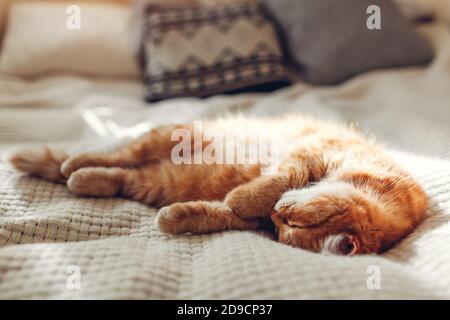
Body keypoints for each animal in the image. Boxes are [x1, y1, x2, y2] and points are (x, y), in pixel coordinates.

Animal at [7, 114, 428, 256]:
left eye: (284, 229)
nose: (277, 213)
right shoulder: (310, 152)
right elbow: (275, 181)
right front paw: (249, 195)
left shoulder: (249, 222)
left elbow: (218, 213)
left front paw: (177, 219)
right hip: (165, 137)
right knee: (116, 154)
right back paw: (75, 162)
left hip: (158, 181)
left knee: (119, 176)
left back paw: (82, 178)